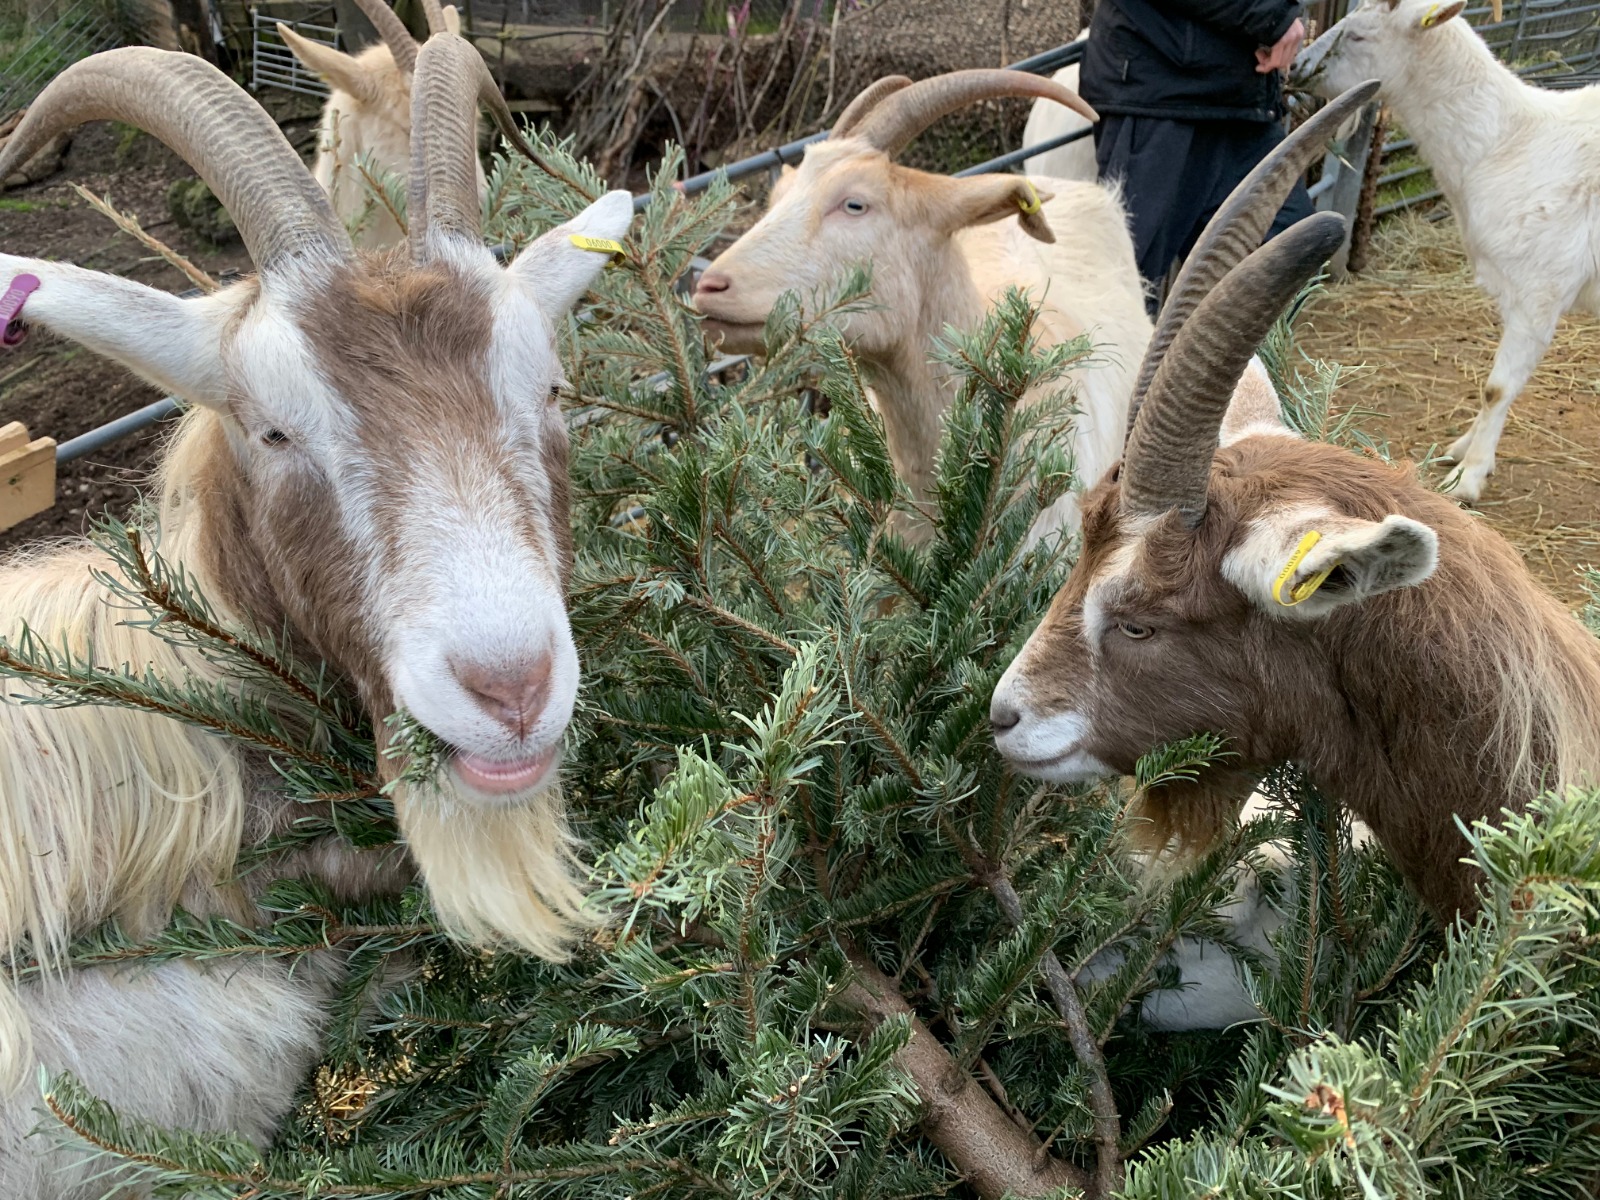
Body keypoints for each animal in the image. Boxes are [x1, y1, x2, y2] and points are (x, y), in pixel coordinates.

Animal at [1293, 0, 1600, 503]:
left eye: (1358, 36)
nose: (1297, 66)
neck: (1506, 141)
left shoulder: (1540, 290)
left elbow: (1497, 388)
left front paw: (1468, 477)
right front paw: (1463, 448)